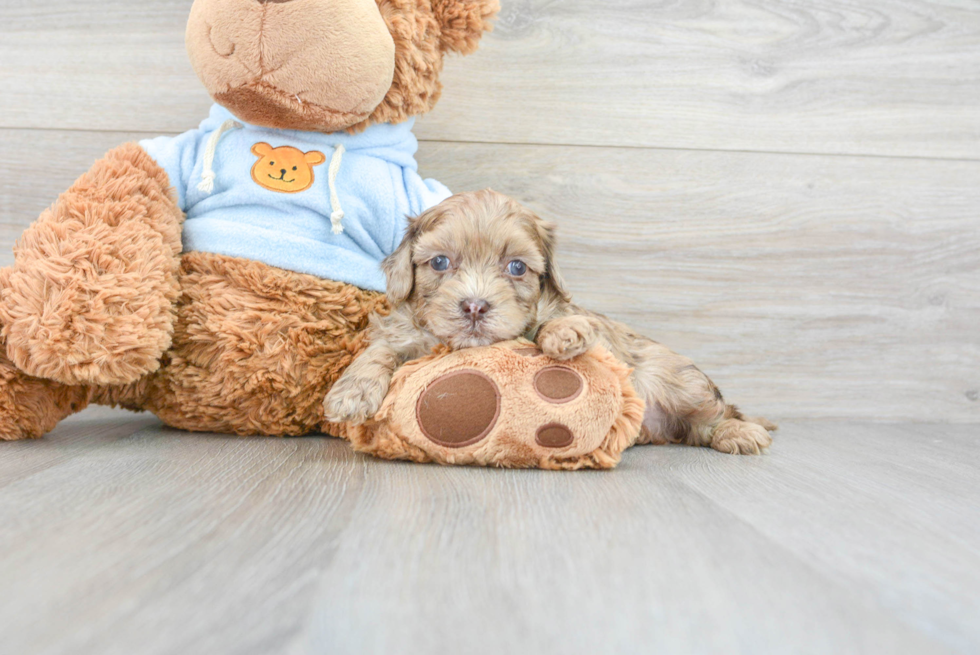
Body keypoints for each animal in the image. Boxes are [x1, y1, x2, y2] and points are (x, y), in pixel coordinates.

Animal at [326, 190, 776, 456]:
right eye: (439, 262)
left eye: (517, 267)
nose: (474, 306)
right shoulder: (402, 331)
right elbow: (380, 350)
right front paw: (350, 393)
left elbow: (548, 325)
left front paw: (561, 333)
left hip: (681, 383)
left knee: (716, 415)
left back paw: (739, 433)